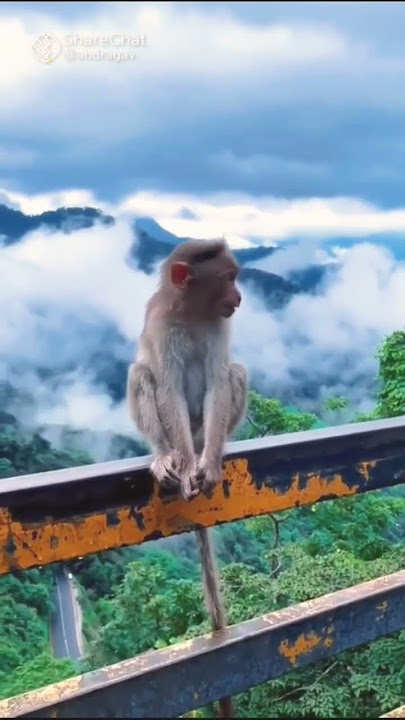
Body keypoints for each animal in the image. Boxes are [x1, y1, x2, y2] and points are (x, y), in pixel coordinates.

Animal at [127, 238, 247, 718]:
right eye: (229, 277)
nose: (240, 296)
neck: (195, 313)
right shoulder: (163, 324)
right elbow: (168, 388)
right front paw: (180, 467)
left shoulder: (219, 325)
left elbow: (218, 380)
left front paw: (209, 468)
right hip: (180, 434)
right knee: (143, 374)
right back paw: (169, 457)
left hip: (203, 431)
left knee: (235, 373)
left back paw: (210, 452)